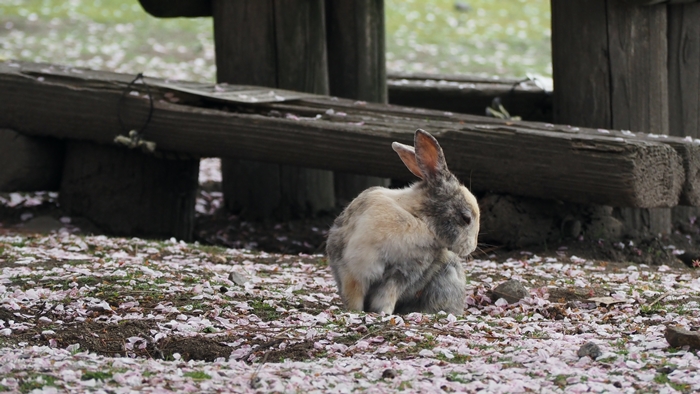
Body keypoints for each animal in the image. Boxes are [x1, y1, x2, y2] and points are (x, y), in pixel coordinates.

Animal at [326, 127, 478, 316]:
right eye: (466, 218)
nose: (472, 247)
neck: (418, 218)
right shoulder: (354, 269)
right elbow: (354, 295)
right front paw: (356, 311)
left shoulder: (401, 275)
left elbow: (386, 296)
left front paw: (384, 313)